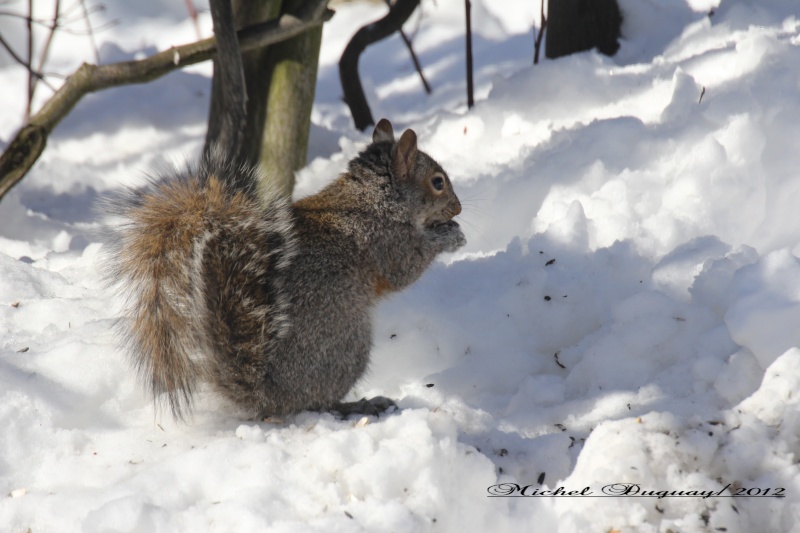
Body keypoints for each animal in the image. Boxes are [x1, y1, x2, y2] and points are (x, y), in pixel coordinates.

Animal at [109, 117, 466, 420]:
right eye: (437, 182)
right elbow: (406, 268)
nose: (458, 207)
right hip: (347, 343)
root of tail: (268, 395)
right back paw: (359, 405)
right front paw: (450, 237)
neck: (373, 198)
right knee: (317, 402)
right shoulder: (385, 241)